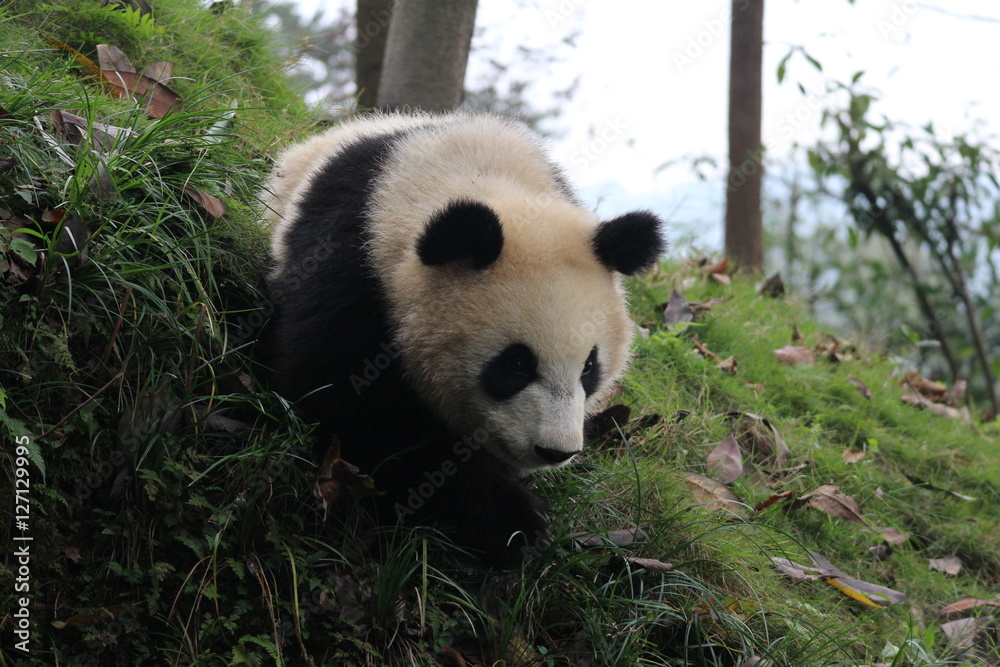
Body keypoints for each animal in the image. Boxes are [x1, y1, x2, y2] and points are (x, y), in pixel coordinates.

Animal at [261, 112, 666, 567]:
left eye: (589, 368)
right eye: (516, 364)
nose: (556, 451)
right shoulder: (353, 262)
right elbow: (346, 398)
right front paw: (512, 521)